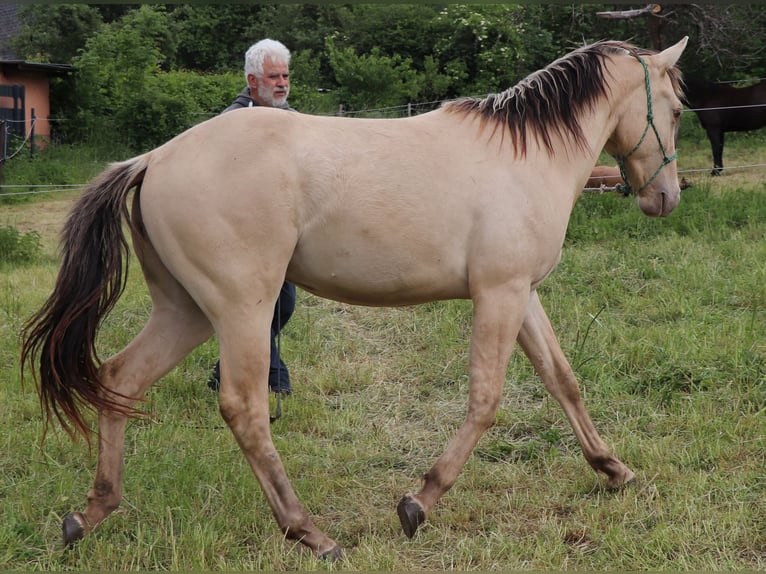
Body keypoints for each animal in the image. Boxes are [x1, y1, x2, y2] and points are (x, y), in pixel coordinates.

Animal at [19, 37, 688, 564]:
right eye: (678, 109)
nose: (666, 198)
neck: (523, 155)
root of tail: (154, 158)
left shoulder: (522, 294)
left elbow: (562, 380)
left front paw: (613, 469)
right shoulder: (499, 294)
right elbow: (486, 398)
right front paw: (419, 502)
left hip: (185, 311)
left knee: (119, 380)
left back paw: (91, 513)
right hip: (241, 310)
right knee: (244, 408)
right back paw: (310, 534)